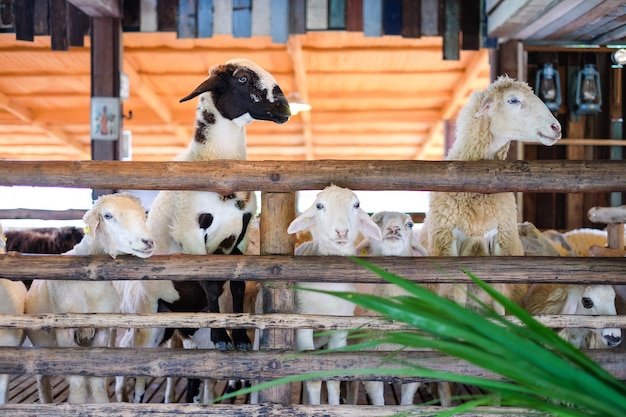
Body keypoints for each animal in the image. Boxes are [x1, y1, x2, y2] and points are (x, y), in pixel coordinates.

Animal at [25, 193, 155, 404]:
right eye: (108, 215)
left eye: (143, 213)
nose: (148, 242)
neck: (90, 285)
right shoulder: (65, 332)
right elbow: (77, 381)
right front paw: (78, 404)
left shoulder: (102, 330)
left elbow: (97, 379)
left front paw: (100, 403)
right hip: (42, 346)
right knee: (42, 379)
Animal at [116, 57, 292, 402]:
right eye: (241, 79)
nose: (284, 106)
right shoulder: (192, 235)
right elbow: (212, 286)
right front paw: (222, 336)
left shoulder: (241, 236)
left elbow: (236, 287)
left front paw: (239, 336)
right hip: (147, 318)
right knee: (133, 360)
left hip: (181, 327)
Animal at [286, 184, 382, 404]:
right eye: (319, 206)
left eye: (356, 205)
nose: (342, 231)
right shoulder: (303, 326)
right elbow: (313, 380)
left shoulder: (340, 330)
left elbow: (333, 380)